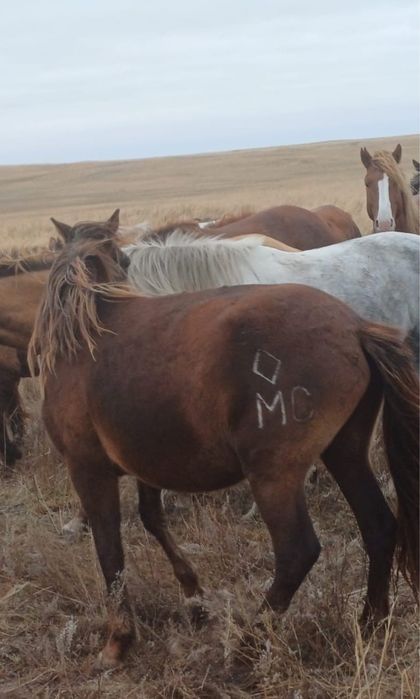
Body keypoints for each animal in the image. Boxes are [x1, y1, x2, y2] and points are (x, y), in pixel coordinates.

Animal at [28, 215, 419, 668]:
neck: (87, 329)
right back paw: (370, 622)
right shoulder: (148, 459)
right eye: (123, 261)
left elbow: (111, 552)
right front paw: (193, 598)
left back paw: (247, 646)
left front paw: (119, 640)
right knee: (378, 526)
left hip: (274, 475)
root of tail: (355, 327)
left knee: (297, 552)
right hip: (346, 452)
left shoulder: (89, 469)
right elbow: (152, 519)